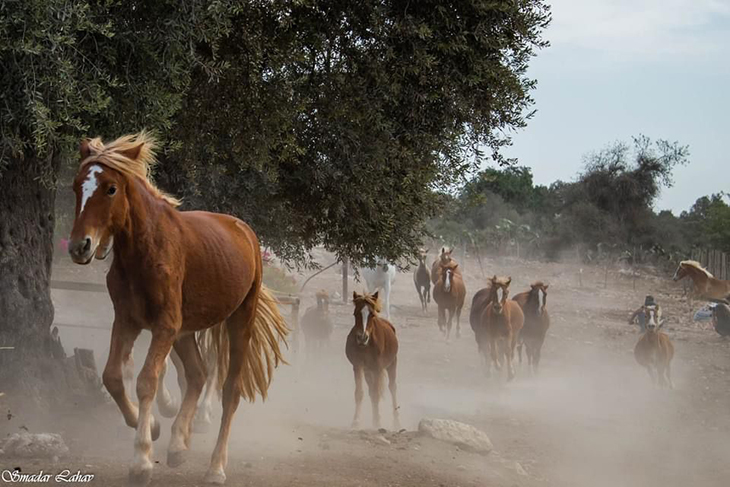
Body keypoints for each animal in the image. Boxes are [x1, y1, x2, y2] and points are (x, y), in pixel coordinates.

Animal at [67, 132, 286, 486]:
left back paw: (215, 467)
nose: (79, 247)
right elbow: (113, 376)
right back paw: (178, 445)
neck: (146, 250)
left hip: (239, 321)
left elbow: (147, 381)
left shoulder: (164, 326)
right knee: (197, 375)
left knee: (230, 391)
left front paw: (141, 460)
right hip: (185, 332)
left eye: (111, 188)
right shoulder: (127, 321)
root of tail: (245, 231)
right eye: (76, 186)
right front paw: (154, 427)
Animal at [346, 292, 398, 428]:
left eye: (372, 315)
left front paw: (377, 422)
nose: (362, 337)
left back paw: (397, 422)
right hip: (368, 371)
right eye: (355, 313)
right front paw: (356, 421)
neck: (366, 346)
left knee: (392, 388)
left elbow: (376, 394)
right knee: (371, 390)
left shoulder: (377, 368)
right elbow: (360, 393)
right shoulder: (358, 366)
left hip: (392, 364)